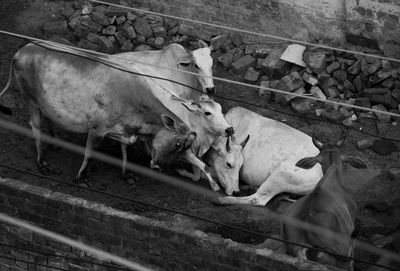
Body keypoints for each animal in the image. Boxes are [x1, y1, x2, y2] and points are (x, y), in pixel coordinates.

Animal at [0, 41, 231, 187]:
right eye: (177, 144)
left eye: (183, 146)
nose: (156, 165)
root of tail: (24, 49)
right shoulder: (97, 129)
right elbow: (89, 153)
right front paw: (81, 177)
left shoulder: (126, 129)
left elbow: (124, 152)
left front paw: (126, 174)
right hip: (31, 101)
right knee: (35, 126)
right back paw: (42, 162)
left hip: (45, 104)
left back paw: (55, 142)